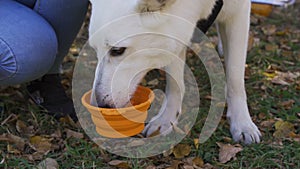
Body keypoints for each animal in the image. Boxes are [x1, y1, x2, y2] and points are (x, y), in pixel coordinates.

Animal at [88, 0, 260, 144]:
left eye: (118, 50)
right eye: (95, 50)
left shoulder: (239, 12)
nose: (99, 105)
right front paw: (166, 118)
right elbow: (175, 84)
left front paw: (242, 123)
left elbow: (235, 79)